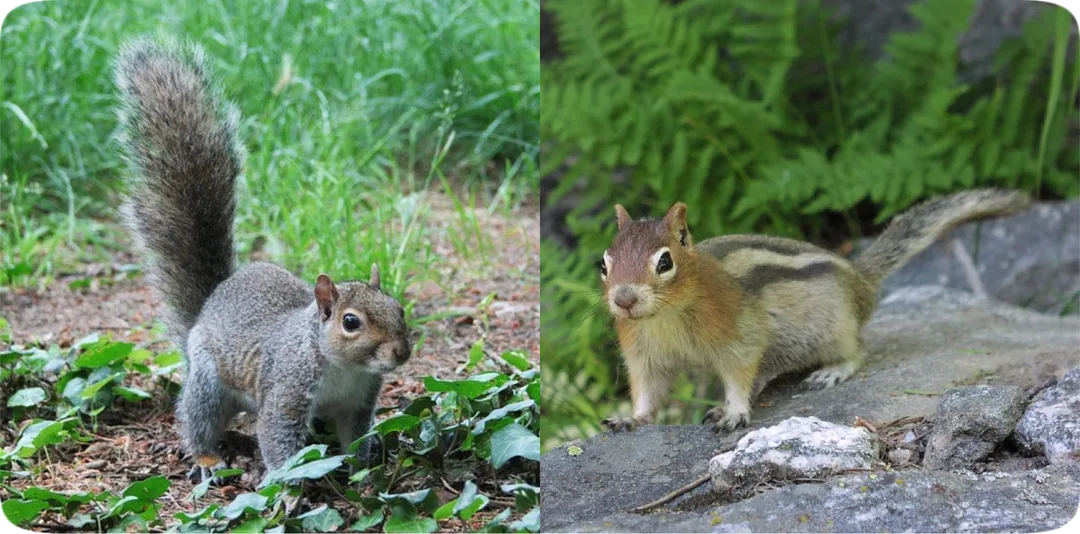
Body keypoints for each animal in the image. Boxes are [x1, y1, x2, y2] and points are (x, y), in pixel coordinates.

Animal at [114, 36, 412, 483]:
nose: (401, 352)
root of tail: (208, 305)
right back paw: (206, 458)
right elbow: (278, 438)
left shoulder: (358, 403)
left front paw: (364, 470)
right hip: (208, 384)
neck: (344, 368)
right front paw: (290, 486)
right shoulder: (286, 390)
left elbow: (355, 438)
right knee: (196, 420)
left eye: (400, 309)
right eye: (351, 322)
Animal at [598, 189, 1031, 433]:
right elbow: (648, 390)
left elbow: (738, 373)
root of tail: (860, 279)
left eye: (665, 262)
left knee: (858, 350)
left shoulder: (739, 336)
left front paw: (733, 411)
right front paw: (632, 418)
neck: (665, 318)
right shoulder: (644, 355)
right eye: (604, 263)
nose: (624, 299)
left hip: (836, 329)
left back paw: (830, 372)